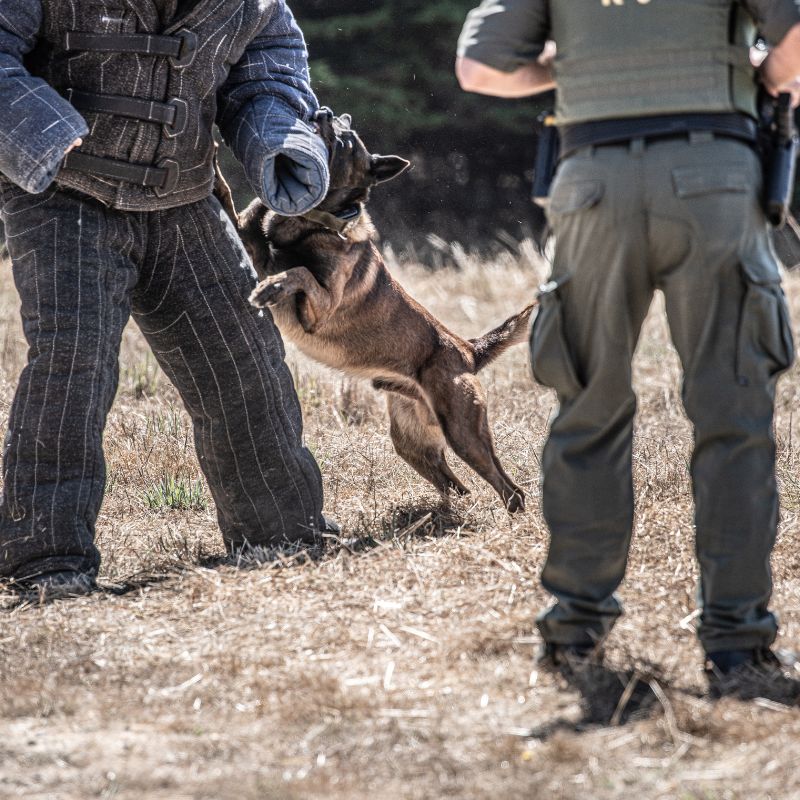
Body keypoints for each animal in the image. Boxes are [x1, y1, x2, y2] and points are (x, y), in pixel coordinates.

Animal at [216, 111, 536, 512]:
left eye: (346, 140)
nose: (322, 113)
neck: (312, 221)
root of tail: (468, 350)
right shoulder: (251, 244)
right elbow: (232, 205)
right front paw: (213, 170)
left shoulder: (319, 309)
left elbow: (298, 271)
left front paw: (273, 286)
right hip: (411, 443)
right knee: (456, 485)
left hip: (463, 432)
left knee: (508, 488)